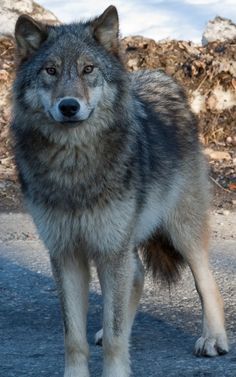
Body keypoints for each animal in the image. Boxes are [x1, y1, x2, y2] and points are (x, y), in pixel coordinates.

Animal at [11, 5, 229, 376]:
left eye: (88, 69)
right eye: (50, 71)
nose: (69, 106)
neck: (75, 166)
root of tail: (161, 77)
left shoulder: (111, 248)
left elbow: (113, 337)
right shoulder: (66, 253)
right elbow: (74, 337)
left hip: (179, 229)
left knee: (205, 279)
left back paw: (213, 338)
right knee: (137, 277)